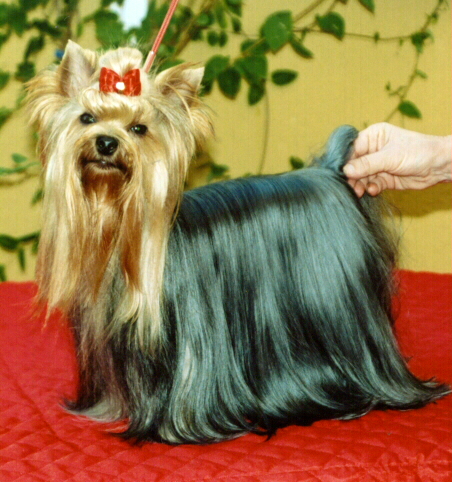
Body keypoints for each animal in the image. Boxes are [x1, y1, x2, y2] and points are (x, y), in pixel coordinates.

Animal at [27, 41, 449, 444]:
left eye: (139, 129)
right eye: (87, 118)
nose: (106, 143)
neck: (117, 224)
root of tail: (330, 172)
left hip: (342, 308)